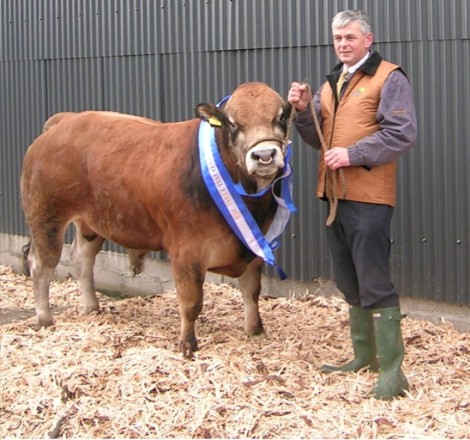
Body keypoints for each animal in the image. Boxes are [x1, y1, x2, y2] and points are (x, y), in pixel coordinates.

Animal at [22, 82, 296, 358]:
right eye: (232, 123)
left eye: (281, 116)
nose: (264, 155)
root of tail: (65, 119)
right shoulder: (187, 252)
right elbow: (191, 301)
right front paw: (187, 344)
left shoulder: (255, 246)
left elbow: (252, 292)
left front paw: (256, 332)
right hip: (46, 217)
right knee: (41, 264)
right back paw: (45, 318)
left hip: (91, 222)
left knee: (82, 258)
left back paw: (92, 307)